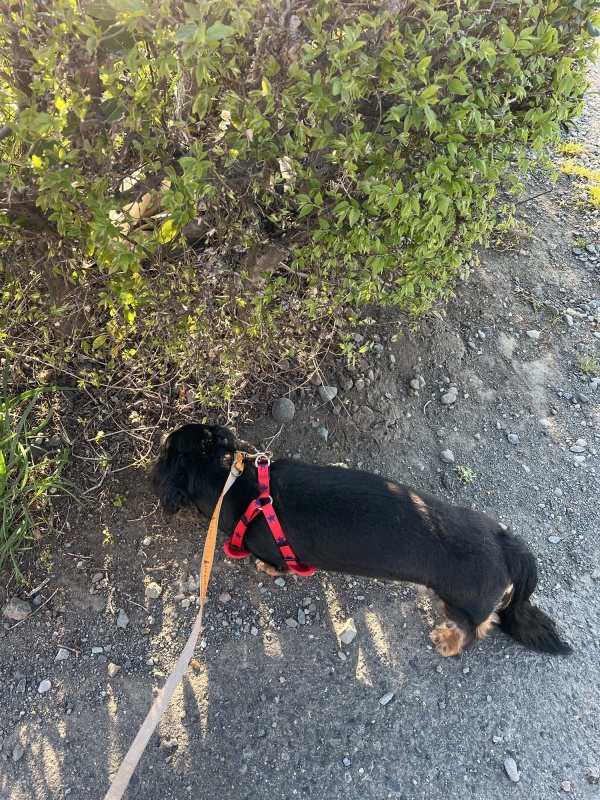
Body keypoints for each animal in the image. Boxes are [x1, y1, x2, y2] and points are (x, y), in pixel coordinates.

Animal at [151, 423, 571, 657]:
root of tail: (506, 543)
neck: (233, 480)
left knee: (475, 630)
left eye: (166, 447)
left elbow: (273, 564)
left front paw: (265, 568)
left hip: (460, 603)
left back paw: (449, 642)